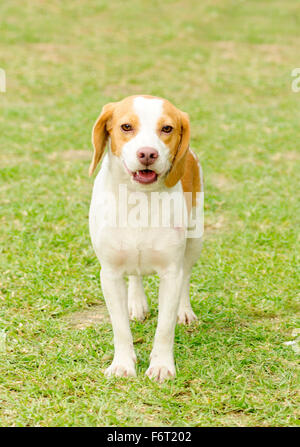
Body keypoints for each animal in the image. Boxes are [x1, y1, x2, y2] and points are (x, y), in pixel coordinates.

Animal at [88, 94, 203, 382]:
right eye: (126, 127)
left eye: (167, 128)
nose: (148, 153)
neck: (138, 199)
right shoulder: (110, 274)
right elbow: (120, 328)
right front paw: (122, 365)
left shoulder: (170, 273)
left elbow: (165, 327)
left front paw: (161, 365)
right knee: (135, 275)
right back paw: (137, 303)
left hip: (195, 240)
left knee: (186, 276)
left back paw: (184, 311)